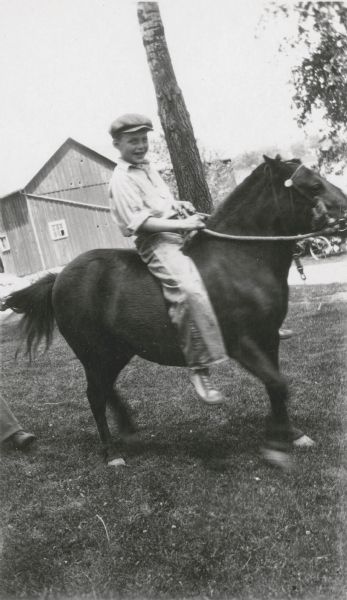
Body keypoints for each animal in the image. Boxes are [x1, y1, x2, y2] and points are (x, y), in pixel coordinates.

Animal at [3, 157, 347, 466]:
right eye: (314, 185)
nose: (344, 213)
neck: (238, 259)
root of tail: (59, 277)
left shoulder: (268, 338)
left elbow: (277, 385)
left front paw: (291, 434)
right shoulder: (243, 344)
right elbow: (278, 384)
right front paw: (276, 446)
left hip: (115, 352)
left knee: (107, 389)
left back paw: (129, 430)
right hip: (94, 352)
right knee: (95, 395)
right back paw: (111, 453)